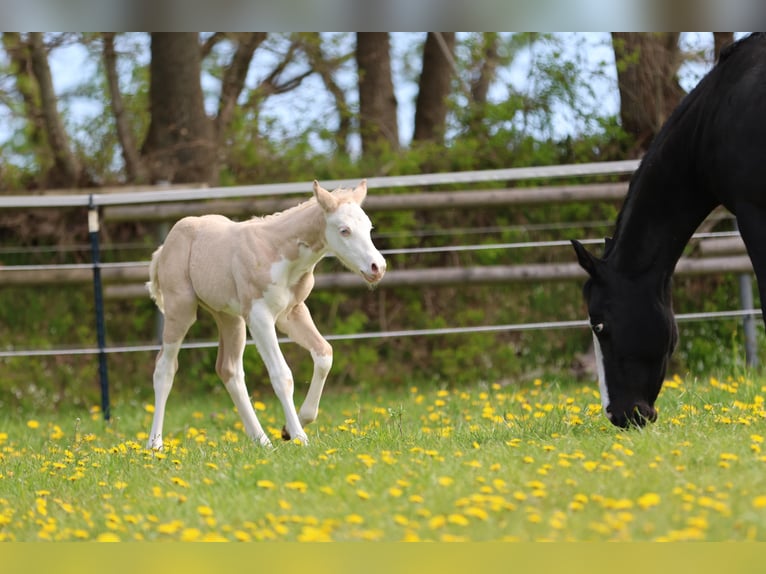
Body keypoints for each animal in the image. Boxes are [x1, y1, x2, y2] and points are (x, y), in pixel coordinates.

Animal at [145, 180, 386, 449]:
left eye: (369, 227)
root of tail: (165, 247)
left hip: (230, 318)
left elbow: (325, 354)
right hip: (181, 310)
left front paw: (290, 429)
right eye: (344, 230)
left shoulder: (292, 313)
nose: (378, 268)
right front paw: (300, 437)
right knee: (165, 368)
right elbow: (282, 375)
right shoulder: (260, 316)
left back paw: (262, 442)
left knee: (229, 370)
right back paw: (155, 445)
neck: (279, 252)